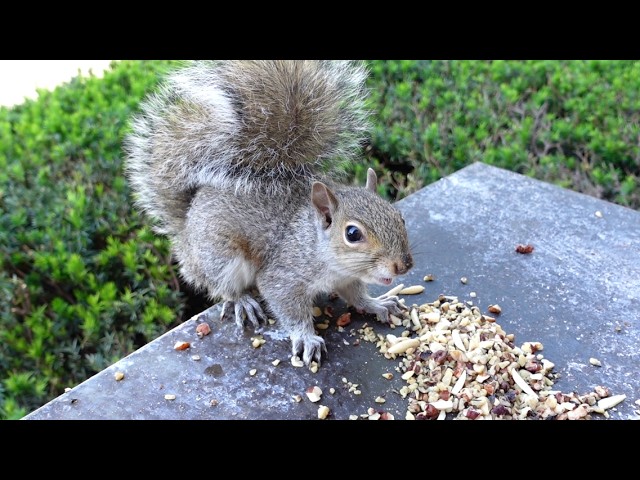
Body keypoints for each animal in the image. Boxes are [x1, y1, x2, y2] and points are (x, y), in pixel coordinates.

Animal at [124, 60, 414, 366]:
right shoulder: (284, 275)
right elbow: (287, 306)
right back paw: (242, 301)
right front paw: (306, 337)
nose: (403, 265)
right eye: (353, 234)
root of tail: (186, 227)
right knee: (223, 287)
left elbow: (356, 296)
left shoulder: (347, 279)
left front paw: (376, 304)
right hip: (220, 257)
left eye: (399, 217)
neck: (318, 249)